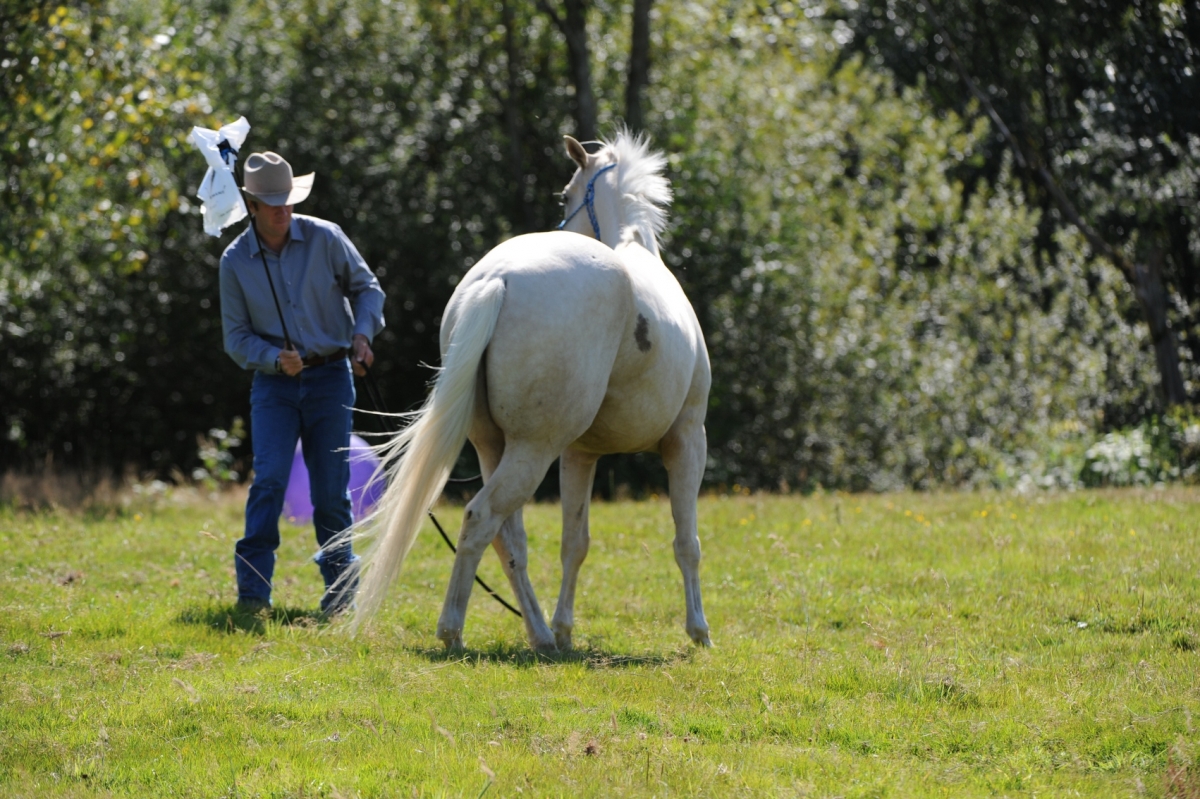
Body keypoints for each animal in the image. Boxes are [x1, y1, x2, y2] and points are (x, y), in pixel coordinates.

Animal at [349, 130, 712, 651]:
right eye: (566, 195)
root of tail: (497, 280)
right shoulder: (687, 439)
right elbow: (687, 542)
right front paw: (699, 631)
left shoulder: (580, 455)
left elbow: (574, 544)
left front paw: (564, 629)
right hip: (533, 450)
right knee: (481, 519)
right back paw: (454, 630)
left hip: (497, 447)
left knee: (508, 537)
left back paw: (541, 634)